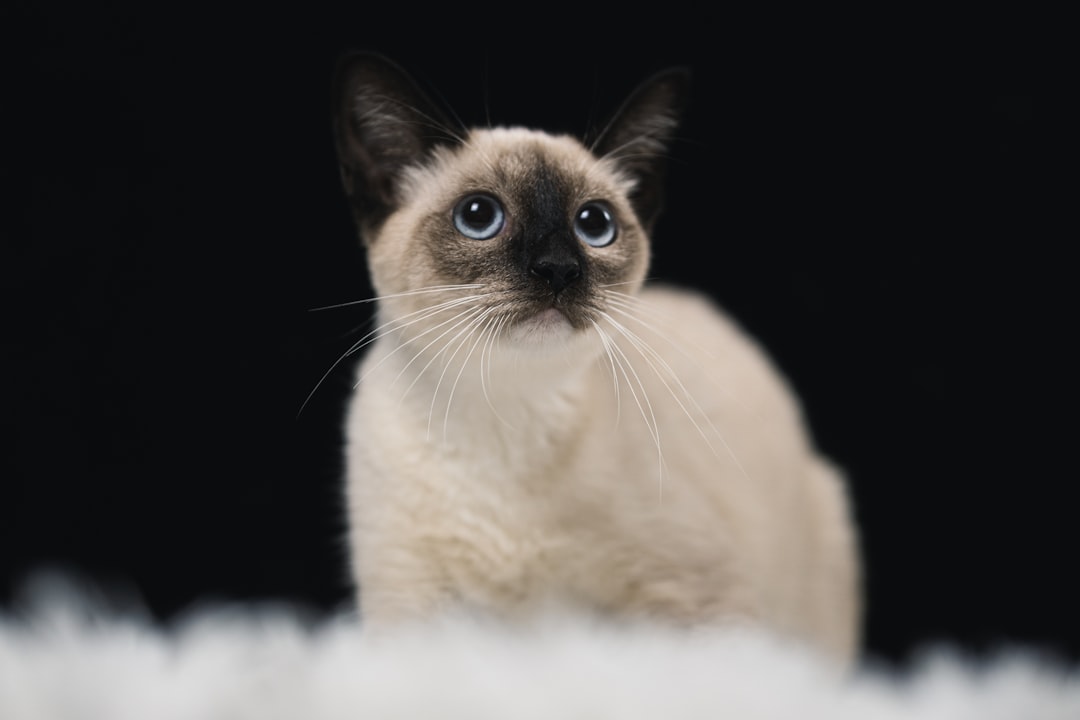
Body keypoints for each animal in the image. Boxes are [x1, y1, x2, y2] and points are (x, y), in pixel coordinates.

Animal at [328, 52, 859, 664]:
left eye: (595, 225)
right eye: (479, 216)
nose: (558, 269)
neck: (503, 414)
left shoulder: (698, 597)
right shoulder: (410, 607)